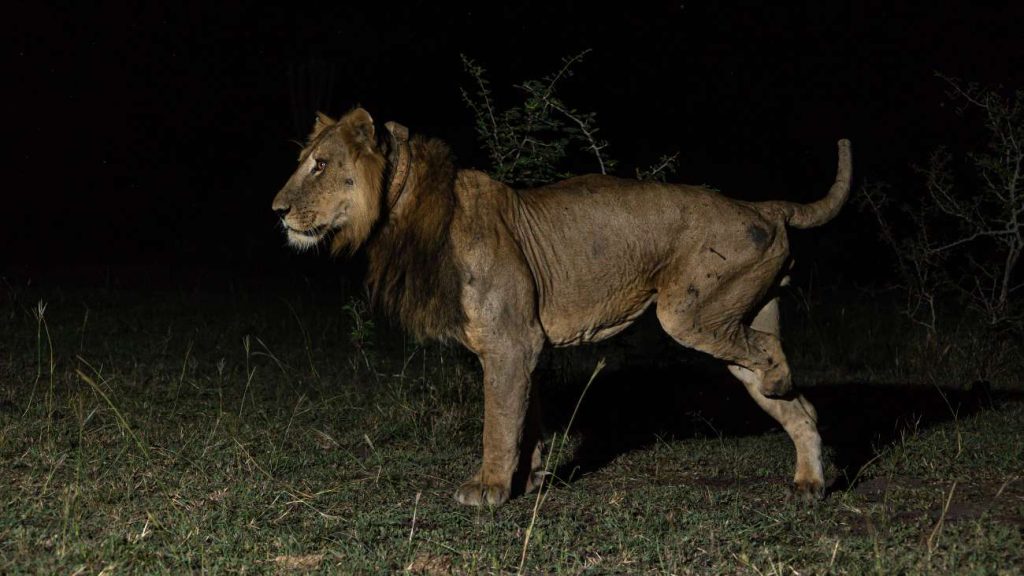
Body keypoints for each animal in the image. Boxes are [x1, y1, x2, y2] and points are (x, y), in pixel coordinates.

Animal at [270, 106, 847, 502]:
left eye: (320, 165)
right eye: (304, 162)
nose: (276, 210)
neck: (404, 212)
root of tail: (762, 205)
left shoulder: (511, 342)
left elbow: (498, 421)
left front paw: (489, 488)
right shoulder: (524, 346)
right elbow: (526, 418)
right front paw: (528, 479)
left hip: (689, 313)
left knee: (771, 353)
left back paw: (781, 386)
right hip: (732, 317)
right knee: (800, 404)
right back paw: (810, 482)